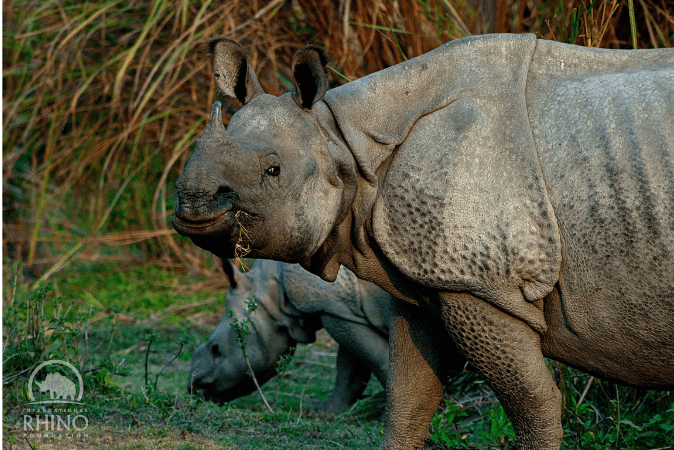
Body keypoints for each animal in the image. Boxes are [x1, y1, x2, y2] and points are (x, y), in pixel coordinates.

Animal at [189, 258, 392, 414]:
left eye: (216, 349)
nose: (193, 388)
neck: (273, 293)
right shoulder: (341, 310)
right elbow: (350, 367)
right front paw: (326, 412)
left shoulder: (335, 308)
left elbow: (376, 359)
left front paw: (386, 415)